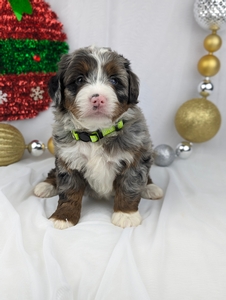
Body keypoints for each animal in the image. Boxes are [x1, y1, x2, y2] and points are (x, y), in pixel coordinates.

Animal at [34, 45, 162, 229]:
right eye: (79, 79)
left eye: (114, 80)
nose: (98, 99)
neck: (95, 134)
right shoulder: (68, 161)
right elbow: (69, 192)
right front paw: (64, 216)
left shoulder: (135, 157)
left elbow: (129, 186)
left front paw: (126, 214)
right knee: (54, 173)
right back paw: (46, 185)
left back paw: (150, 187)